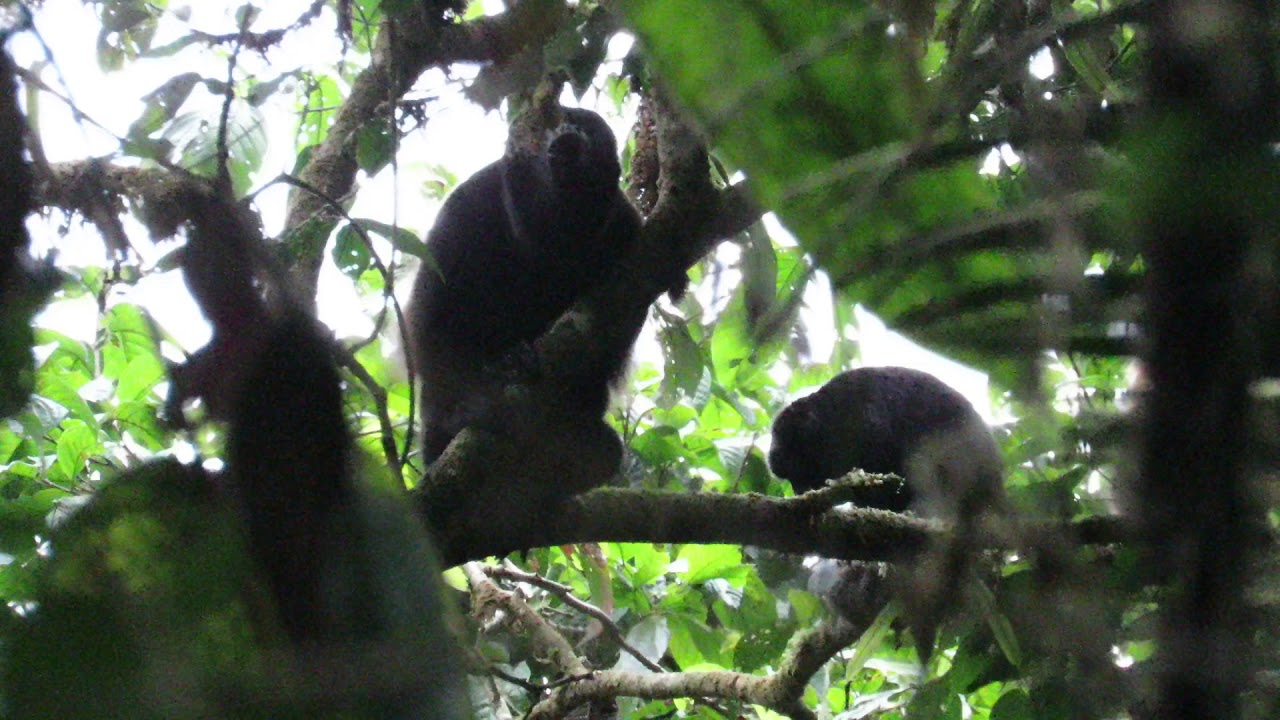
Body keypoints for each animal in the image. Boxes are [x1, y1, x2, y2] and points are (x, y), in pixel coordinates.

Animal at [407, 107, 642, 467]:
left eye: (586, 127)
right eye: (552, 121)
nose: (567, 131)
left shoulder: (627, 225)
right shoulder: (469, 203)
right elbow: (434, 317)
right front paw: (466, 408)